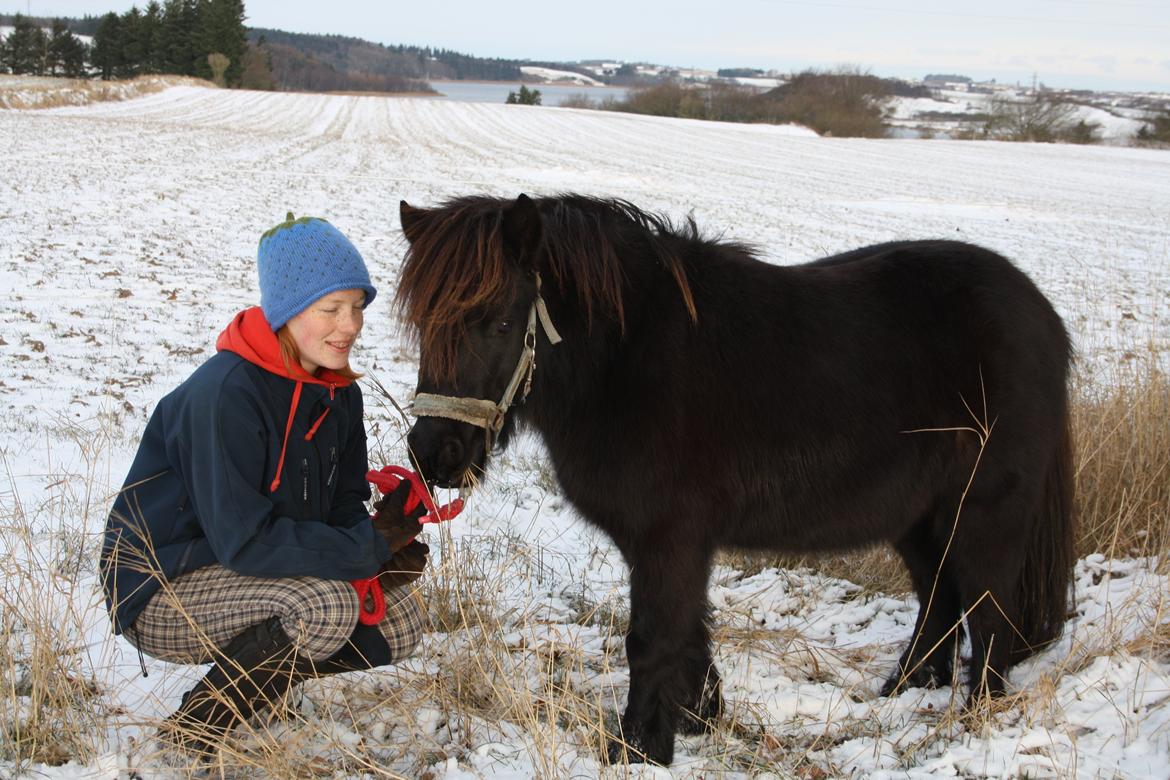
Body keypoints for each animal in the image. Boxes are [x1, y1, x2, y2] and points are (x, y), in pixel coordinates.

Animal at [397, 191, 1071, 767]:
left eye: (499, 323)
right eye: (424, 324)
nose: (436, 454)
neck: (625, 360)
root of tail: (1040, 313)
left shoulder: (669, 539)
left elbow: (651, 639)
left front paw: (637, 750)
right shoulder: (664, 543)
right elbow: (690, 633)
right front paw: (700, 719)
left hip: (986, 510)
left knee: (989, 611)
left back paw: (975, 720)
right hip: (919, 516)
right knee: (939, 596)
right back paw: (905, 688)